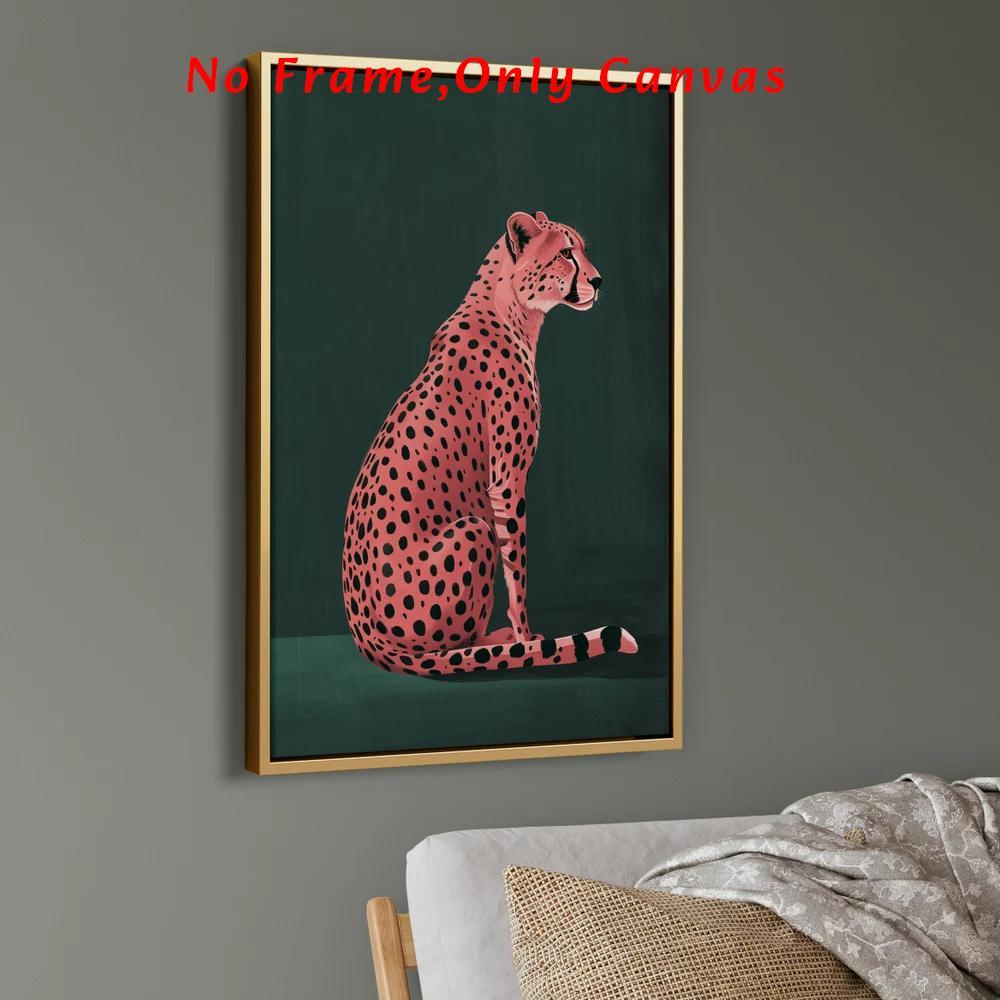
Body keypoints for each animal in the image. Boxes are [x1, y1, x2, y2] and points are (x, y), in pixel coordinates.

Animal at [342, 211, 638, 676]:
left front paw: (525, 640)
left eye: (583, 249)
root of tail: (366, 638)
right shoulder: (507, 480)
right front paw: (526, 640)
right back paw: (496, 644)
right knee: (446, 650)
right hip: (472, 532)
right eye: (566, 253)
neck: (512, 307)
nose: (598, 279)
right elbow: (517, 568)